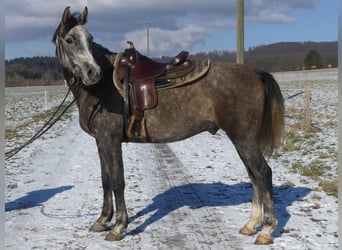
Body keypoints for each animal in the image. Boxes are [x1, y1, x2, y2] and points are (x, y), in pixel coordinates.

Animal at [52, 6, 284, 245]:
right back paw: (251, 225)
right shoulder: (100, 142)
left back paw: (266, 230)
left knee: (263, 174)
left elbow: (117, 181)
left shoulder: (111, 140)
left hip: (244, 139)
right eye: (70, 39)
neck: (104, 86)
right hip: (242, 140)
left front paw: (118, 226)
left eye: (89, 39)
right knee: (254, 176)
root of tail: (254, 73)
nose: (93, 72)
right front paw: (101, 220)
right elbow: (105, 179)